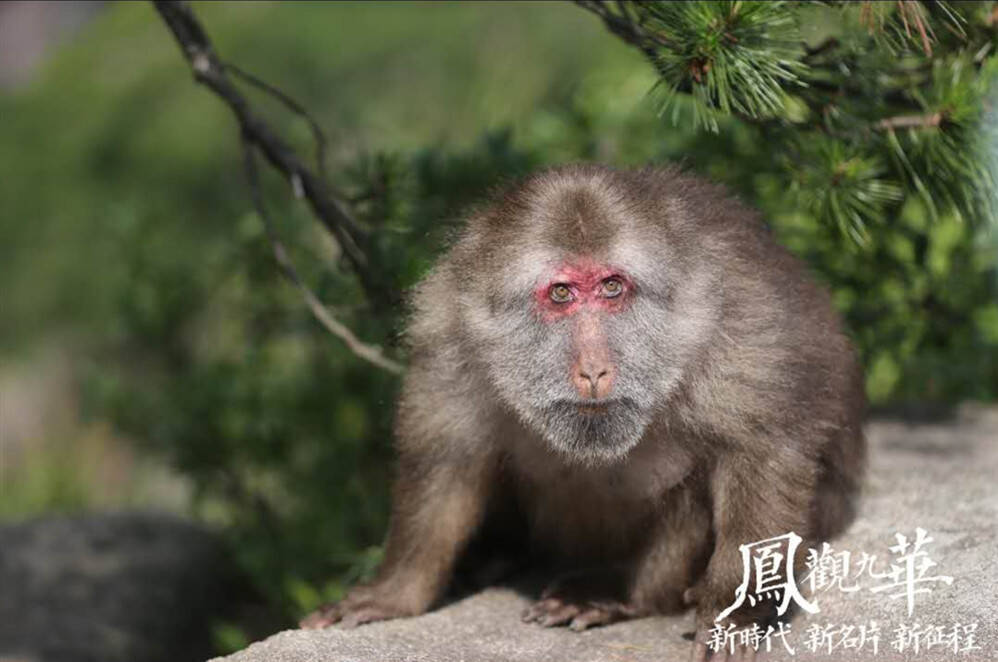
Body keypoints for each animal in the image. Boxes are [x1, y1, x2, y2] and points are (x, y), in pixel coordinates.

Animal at [300, 164, 866, 659]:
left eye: (612, 287)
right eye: (561, 293)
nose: (594, 370)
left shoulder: (743, 329)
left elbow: (761, 452)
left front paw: (737, 612)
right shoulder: (451, 337)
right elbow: (445, 462)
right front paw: (396, 590)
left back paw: (621, 591)